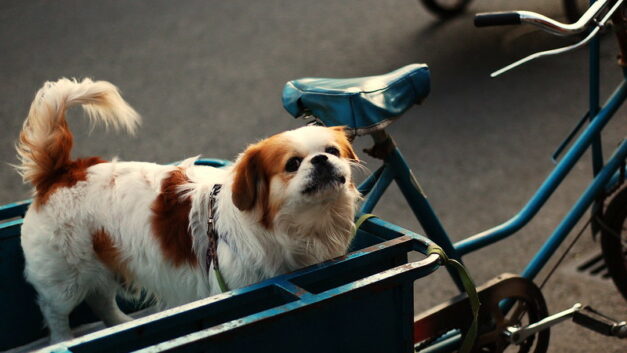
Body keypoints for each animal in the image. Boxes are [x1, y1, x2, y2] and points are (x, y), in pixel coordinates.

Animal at [15, 78, 364, 342]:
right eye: (292, 164)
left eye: (333, 151)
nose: (321, 159)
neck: (300, 229)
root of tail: (60, 172)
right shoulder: (233, 286)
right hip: (64, 279)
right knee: (57, 314)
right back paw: (64, 341)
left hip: (104, 261)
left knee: (102, 300)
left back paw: (123, 324)